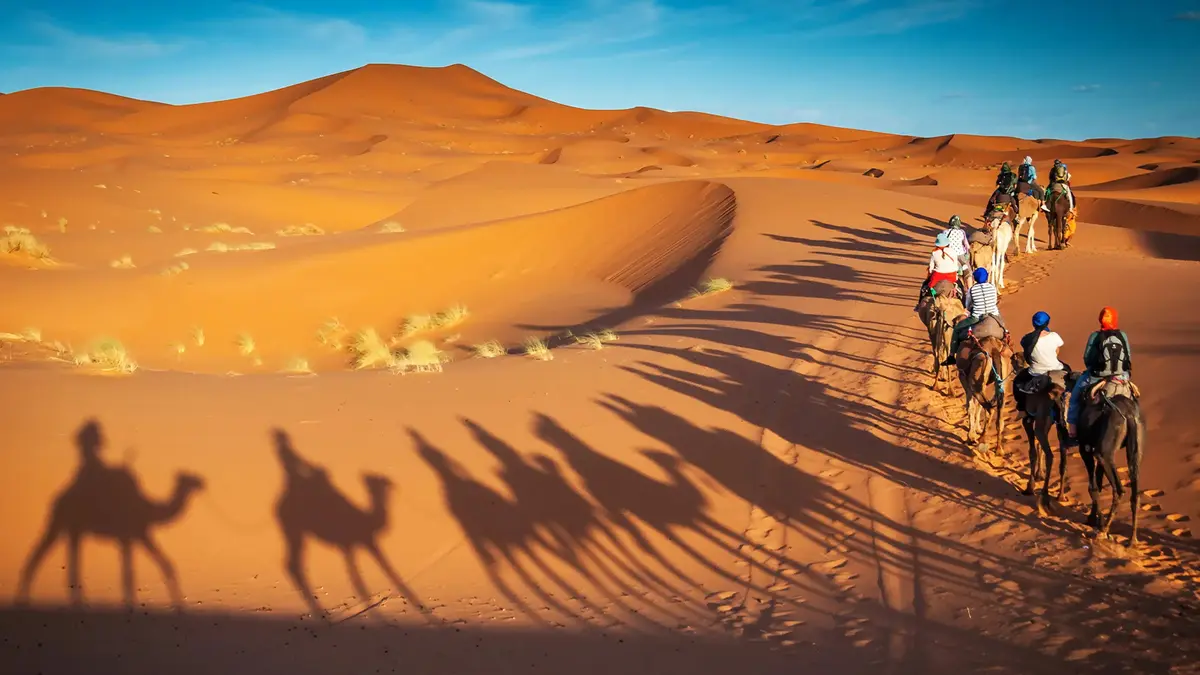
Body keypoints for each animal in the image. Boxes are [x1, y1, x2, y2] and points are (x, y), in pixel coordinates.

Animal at [16, 419, 204, 609]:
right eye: (191, 477)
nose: (203, 482)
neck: (148, 507)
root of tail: (57, 498)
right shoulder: (132, 534)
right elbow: (133, 572)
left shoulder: (136, 534)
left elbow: (160, 565)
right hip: (62, 521)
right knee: (41, 556)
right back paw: (27, 601)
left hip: (73, 527)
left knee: (66, 560)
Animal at [273, 429, 428, 620]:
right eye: (372, 484)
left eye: (381, 484)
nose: (389, 486)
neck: (368, 520)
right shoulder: (361, 543)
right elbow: (371, 577)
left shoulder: (350, 545)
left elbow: (360, 578)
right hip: (294, 528)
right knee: (293, 563)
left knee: (293, 563)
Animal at [1076, 378, 1145, 545]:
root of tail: (1129, 415)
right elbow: (1099, 484)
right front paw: (1092, 518)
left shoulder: (1085, 448)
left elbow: (1093, 486)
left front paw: (1094, 521)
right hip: (1135, 447)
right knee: (1135, 492)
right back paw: (1133, 540)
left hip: (1104, 452)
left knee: (1119, 489)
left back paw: (1103, 531)